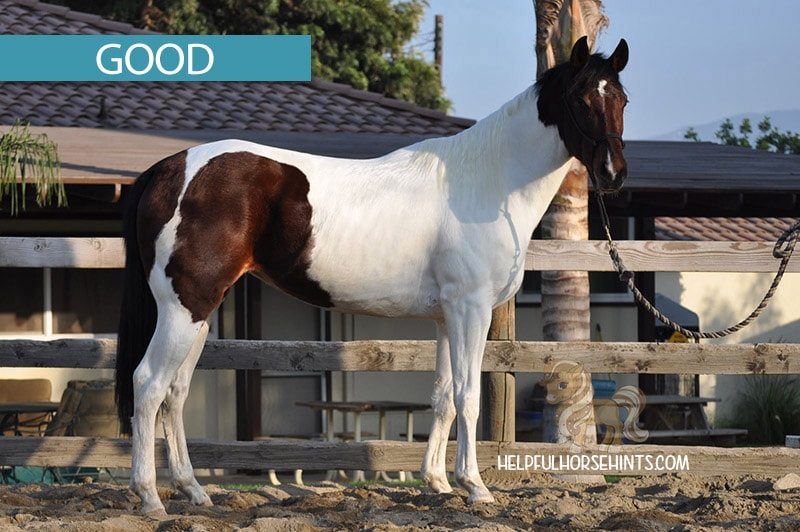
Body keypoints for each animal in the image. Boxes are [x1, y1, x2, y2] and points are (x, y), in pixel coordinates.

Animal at [117, 35, 632, 512]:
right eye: (580, 100)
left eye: (622, 100)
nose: (614, 175)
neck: (484, 181)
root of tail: (169, 168)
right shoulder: (471, 309)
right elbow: (468, 395)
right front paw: (475, 487)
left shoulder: (446, 317)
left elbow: (443, 396)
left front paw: (438, 483)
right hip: (184, 308)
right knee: (148, 385)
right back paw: (150, 497)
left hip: (199, 313)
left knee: (175, 393)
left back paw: (195, 492)